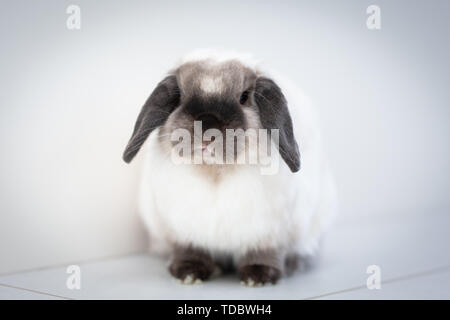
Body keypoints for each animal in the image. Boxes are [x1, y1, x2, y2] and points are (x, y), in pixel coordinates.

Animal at [121, 50, 336, 288]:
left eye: (244, 97)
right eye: (180, 96)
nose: (207, 125)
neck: (215, 172)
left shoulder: (268, 234)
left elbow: (264, 254)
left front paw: (258, 277)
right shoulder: (184, 233)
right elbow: (189, 251)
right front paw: (189, 273)